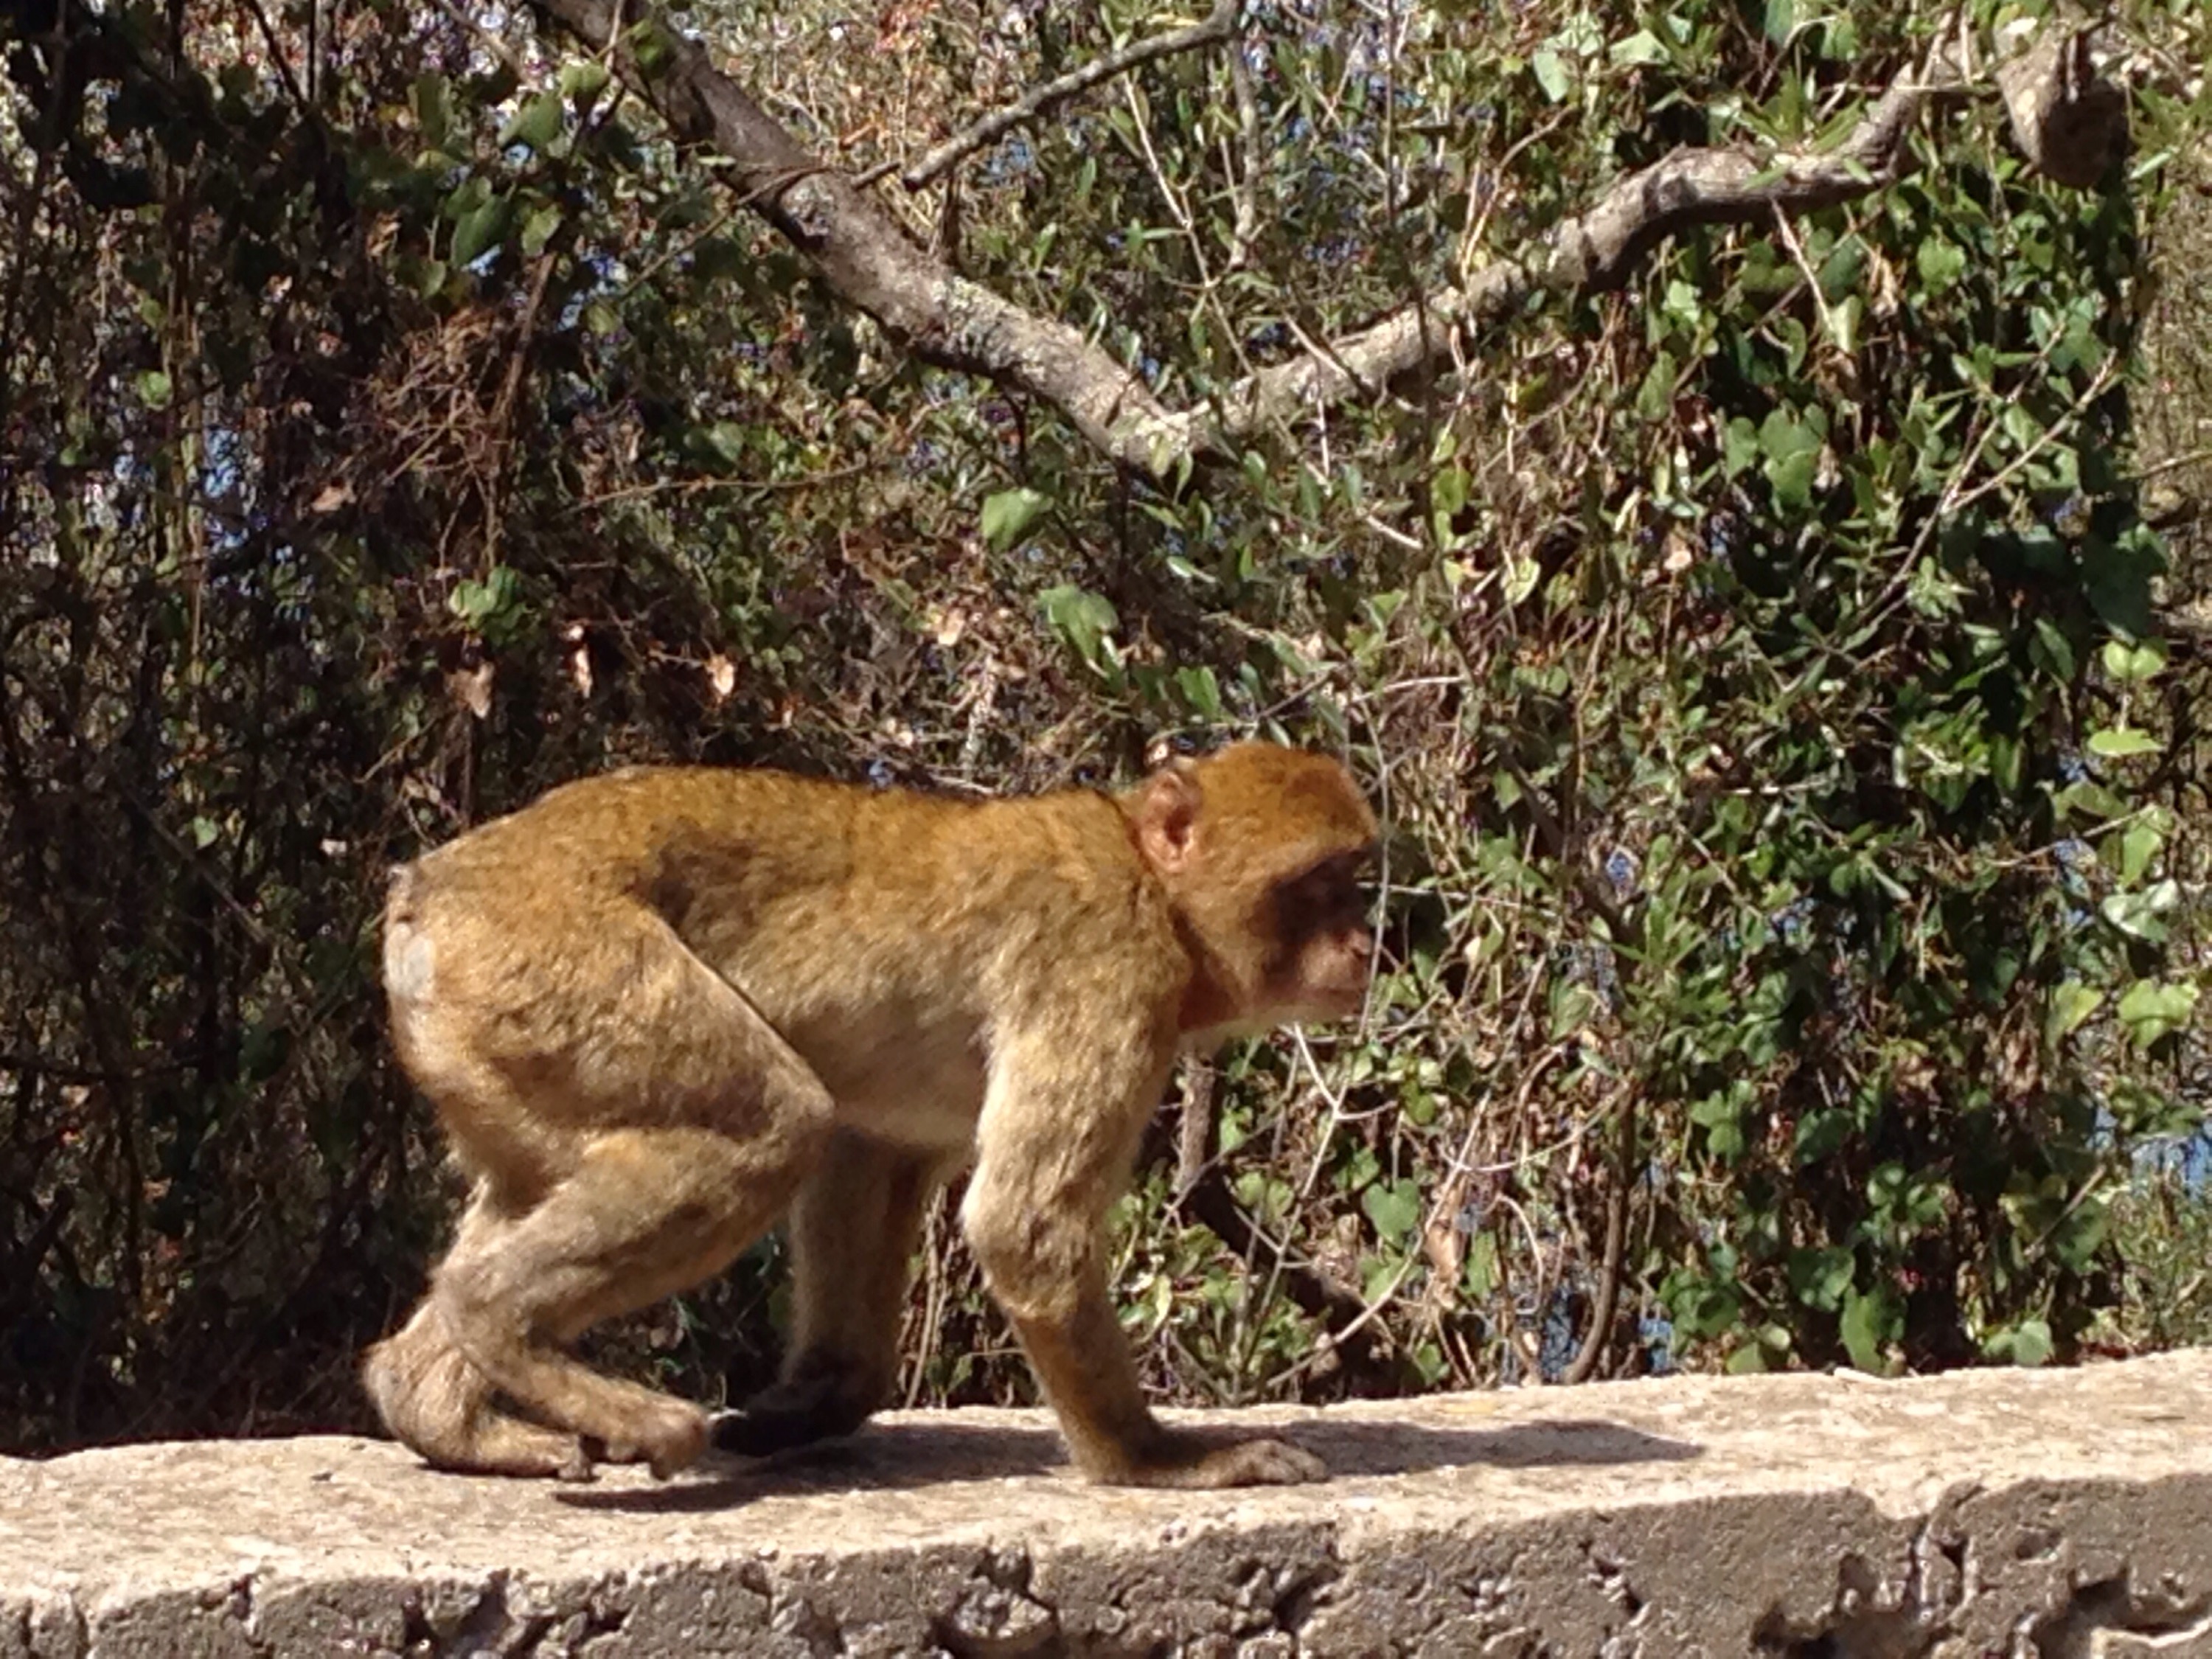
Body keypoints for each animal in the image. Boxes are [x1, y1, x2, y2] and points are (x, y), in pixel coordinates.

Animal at [361, 741, 1378, 1487]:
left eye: (1355, 881)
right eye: (1319, 885)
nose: (1365, 942)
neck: (1159, 896)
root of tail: (431, 890)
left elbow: (873, 1152)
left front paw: (819, 1399)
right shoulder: (1108, 964)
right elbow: (1024, 1227)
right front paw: (1152, 1460)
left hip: (499, 1025)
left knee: (538, 1176)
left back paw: (436, 1409)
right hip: (558, 960)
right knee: (769, 1128)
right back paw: (501, 1323)